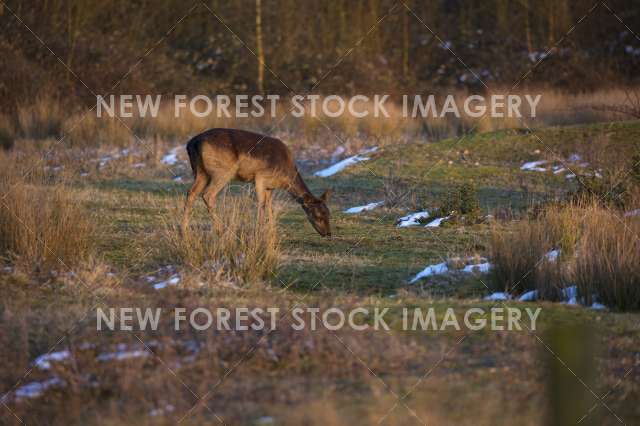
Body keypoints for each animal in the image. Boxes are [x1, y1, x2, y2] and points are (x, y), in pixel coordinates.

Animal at [180, 128, 330, 238]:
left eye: (328, 214)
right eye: (318, 215)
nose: (328, 233)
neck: (285, 177)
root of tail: (192, 144)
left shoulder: (270, 187)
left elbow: (270, 206)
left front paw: (272, 232)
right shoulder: (260, 177)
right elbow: (261, 204)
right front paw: (260, 232)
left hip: (200, 172)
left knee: (191, 192)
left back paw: (185, 230)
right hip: (222, 171)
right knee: (208, 194)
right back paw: (220, 230)